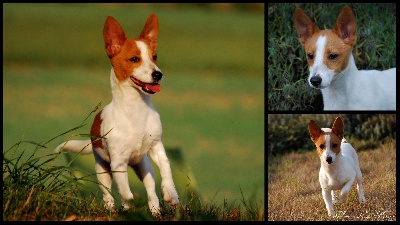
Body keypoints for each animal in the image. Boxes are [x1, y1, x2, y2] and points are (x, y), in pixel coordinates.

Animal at [55, 13, 180, 215]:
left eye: (155, 57)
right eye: (134, 59)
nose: (158, 74)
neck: (137, 108)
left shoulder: (156, 147)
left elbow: (166, 169)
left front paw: (171, 194)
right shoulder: (118, 163)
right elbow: (126, 192)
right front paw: (130, 205)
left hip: (143, 166)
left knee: (150, 189)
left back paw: (155, 211)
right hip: (102, 170)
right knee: (109, 194)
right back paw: (114, 209)